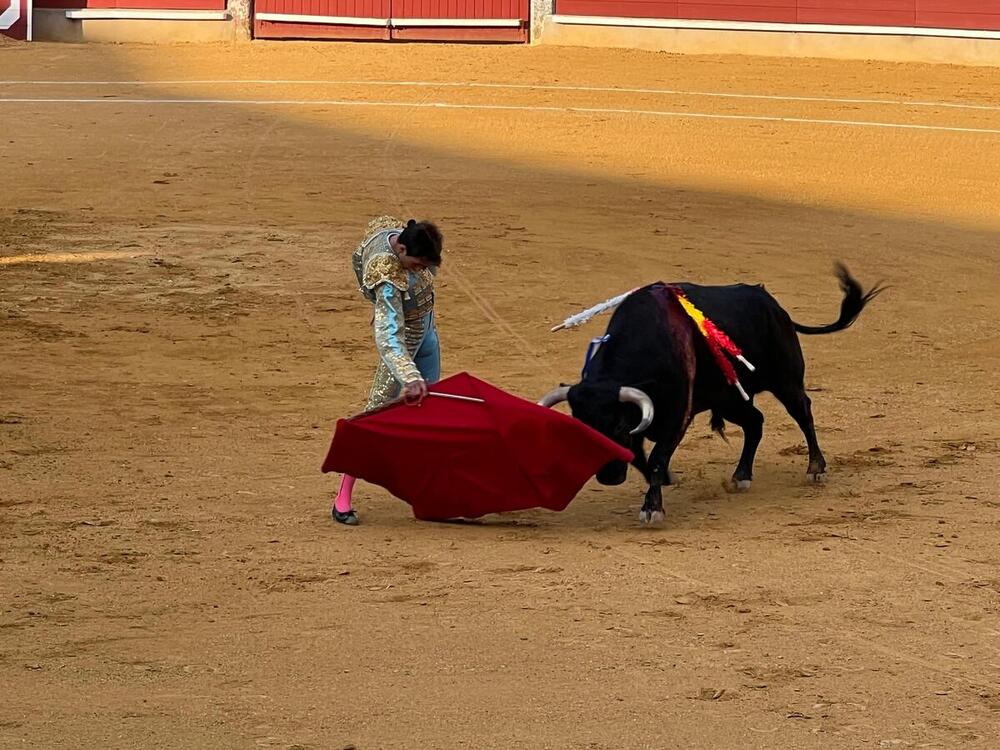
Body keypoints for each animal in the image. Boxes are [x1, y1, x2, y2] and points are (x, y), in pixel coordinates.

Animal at [540, 268, 884, 524]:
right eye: (582, 431)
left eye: (618, 427)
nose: (609, 477)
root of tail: (775, 306)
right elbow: (641, 457)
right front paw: (667, 481)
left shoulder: (677, 416)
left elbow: (655, 458)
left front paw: (652, 508)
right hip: (730, 398)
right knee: (755, 422)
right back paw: (741, 475)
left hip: (786, 381)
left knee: (803, 412)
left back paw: (815, 469)